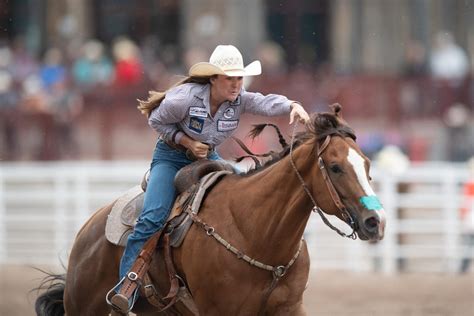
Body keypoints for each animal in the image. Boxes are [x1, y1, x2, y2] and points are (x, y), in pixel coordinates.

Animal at [36, 105, 386, 314]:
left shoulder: (290, 307)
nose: (376, 222)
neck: (257, 234)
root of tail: (88, 231)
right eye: (336, 167)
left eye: (368, 165)